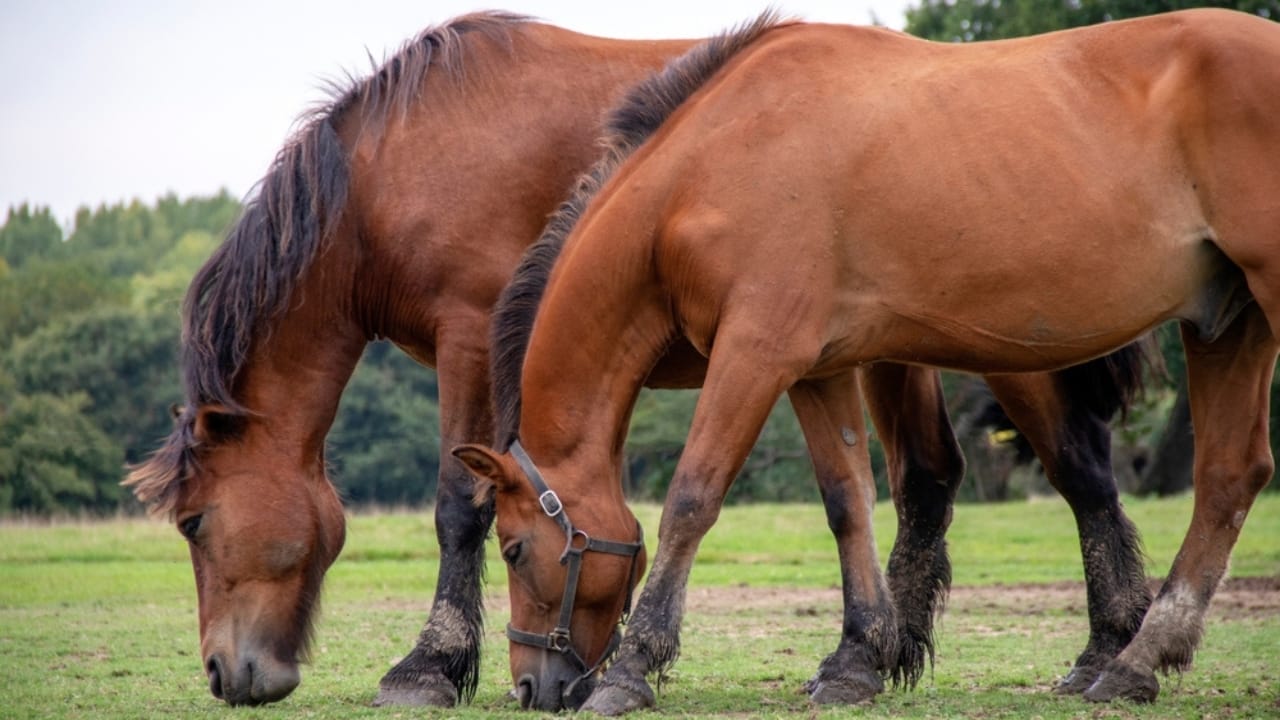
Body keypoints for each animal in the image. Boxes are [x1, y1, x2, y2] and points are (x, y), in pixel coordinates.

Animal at [123, 10, 1148, 709]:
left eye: (195, 525)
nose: (224, 673)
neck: (393, 171)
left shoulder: (470, 336)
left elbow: (458, 509)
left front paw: (432, 664)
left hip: (1007, 349)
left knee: (1082, 474)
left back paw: (1109, 647)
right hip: (892, 350)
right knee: (929, 480)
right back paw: (890, 651)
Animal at [459, 8, 1278, 714]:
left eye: (515, 547)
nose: (531, 685)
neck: (707, 167)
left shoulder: (755, 354)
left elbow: (692, 498)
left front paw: (632, 670)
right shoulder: (815, 369)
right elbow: (847, 499)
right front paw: (857, 659)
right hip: (1227, 326)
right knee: (1228, 478)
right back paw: (1137, 659)